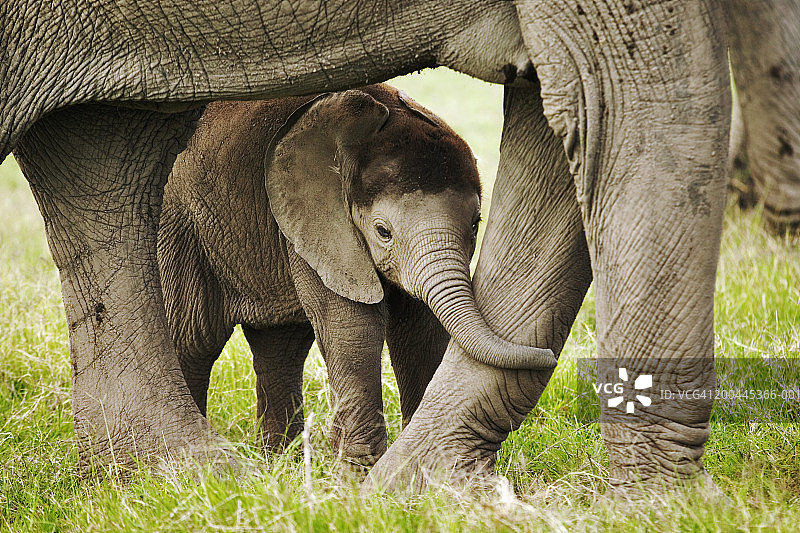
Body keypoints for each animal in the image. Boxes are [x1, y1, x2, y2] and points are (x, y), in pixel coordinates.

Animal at [157, 83, 533, 466]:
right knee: (194, 339)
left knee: (281, 347)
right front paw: (359, 472)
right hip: (180, 228)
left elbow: (420, 330)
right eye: (383, 232)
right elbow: (353, 326)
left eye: (475, 224)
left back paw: (282, 465)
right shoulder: (319, 224)